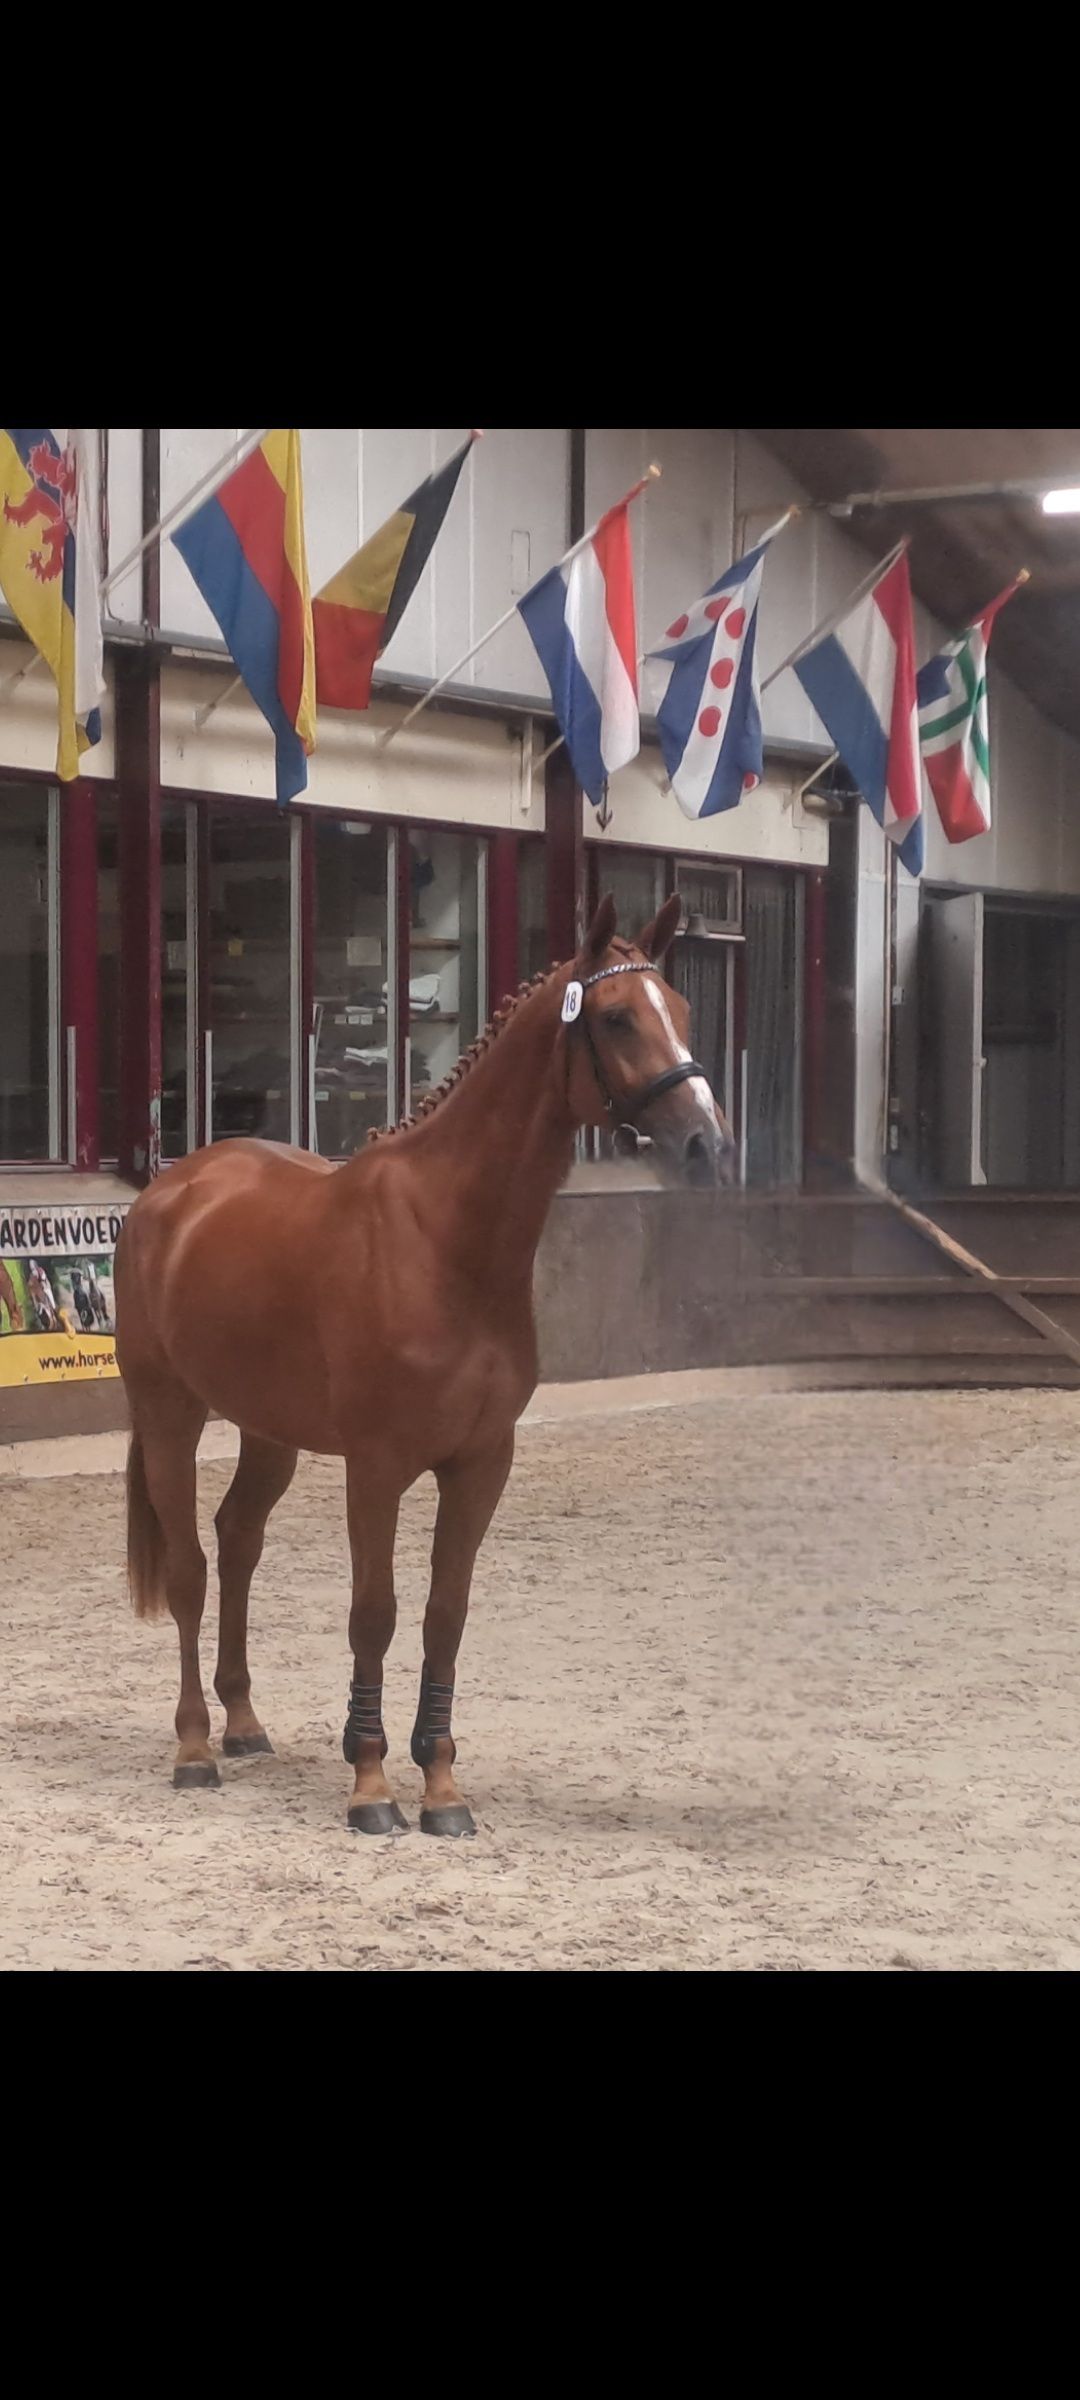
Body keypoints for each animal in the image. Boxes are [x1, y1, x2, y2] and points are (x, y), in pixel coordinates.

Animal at [114, 891, 735, 1836]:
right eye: (618, 1018)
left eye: (685, 1012)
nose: (707, 1143)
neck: (445, 1239)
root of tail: (171, 1190)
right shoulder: (376, 1467)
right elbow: (376, 1613)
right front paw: (372, 1785)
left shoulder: (480, 1463)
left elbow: (446, 1615)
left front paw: (441, 1787)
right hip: (169, 1414)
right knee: (189, 1567)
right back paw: (193, 1749)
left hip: (270, 1432)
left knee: (238, 1540)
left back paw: (245, 1722)